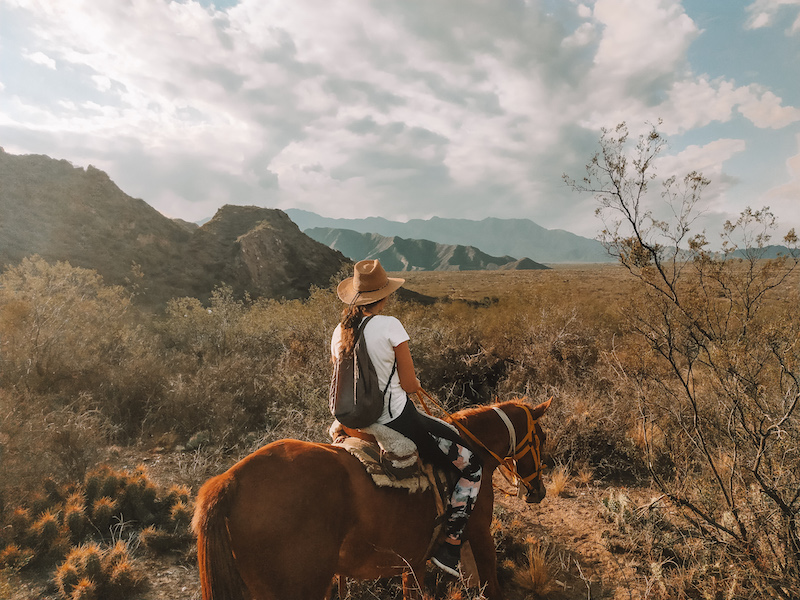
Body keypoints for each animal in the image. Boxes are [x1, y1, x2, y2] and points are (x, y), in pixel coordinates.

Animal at [192, 398, 552, 600]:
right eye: (542, 436)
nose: (538, 492)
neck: (476, 448)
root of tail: (230, 480)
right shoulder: (479, 534)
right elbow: (492, 582)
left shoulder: (413, 560)